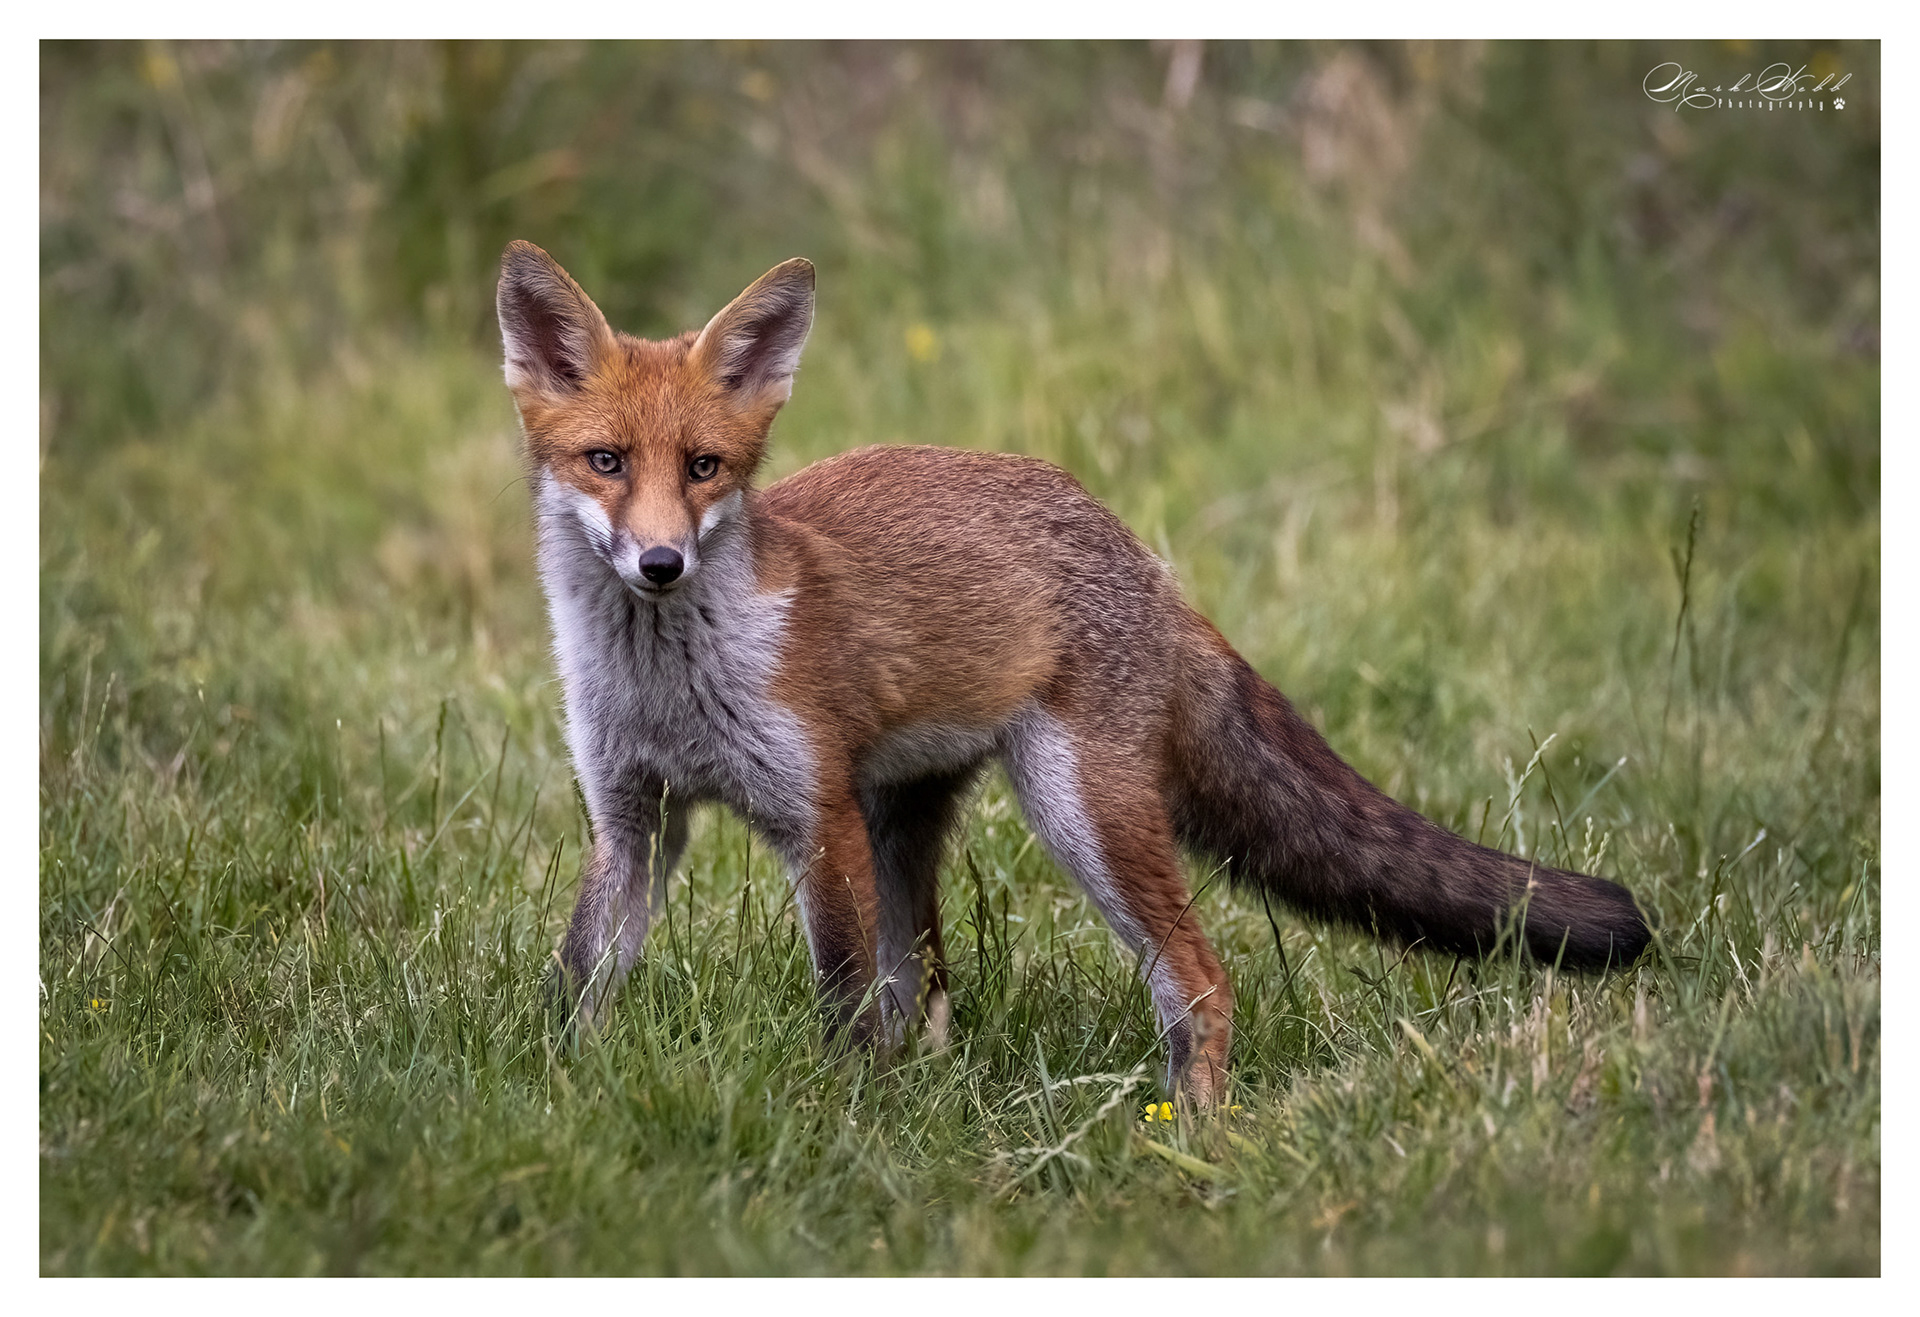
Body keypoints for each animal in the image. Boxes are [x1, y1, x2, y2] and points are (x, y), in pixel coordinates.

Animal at [496, 240, 1652, 1108]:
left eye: (704, 468)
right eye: (606, 462)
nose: (660, 563)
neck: (672, 686)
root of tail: (1140, 553)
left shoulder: (813, 818)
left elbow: (841, 1007)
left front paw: (836, 1121)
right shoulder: (635, 820)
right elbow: (579, 980)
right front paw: (563, 1090)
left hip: (1074, 805)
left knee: (1200, 983)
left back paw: (1191, 1137)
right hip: (903, 818)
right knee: (925, 994)